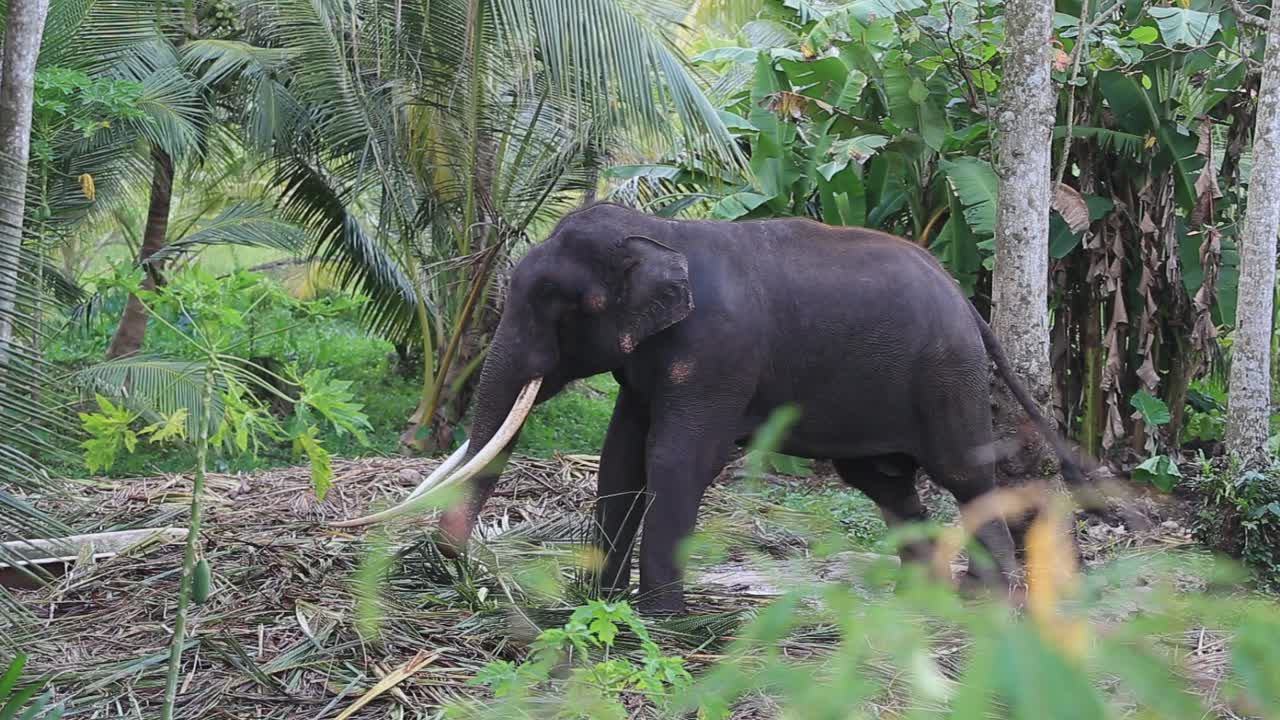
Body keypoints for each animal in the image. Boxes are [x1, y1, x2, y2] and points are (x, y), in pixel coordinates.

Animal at [335, 202, 1091, 614]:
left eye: (562, 304)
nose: (450, 568)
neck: (659, 230)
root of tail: (967, 301)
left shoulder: (718, 353)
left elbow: (676, 460)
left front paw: (664, 620)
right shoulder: (647, 366)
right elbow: (620, 460)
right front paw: (594, 601)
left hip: (946, 377)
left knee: (964, 477)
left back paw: (984, 600)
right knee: (886, 484)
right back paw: (917, 596)